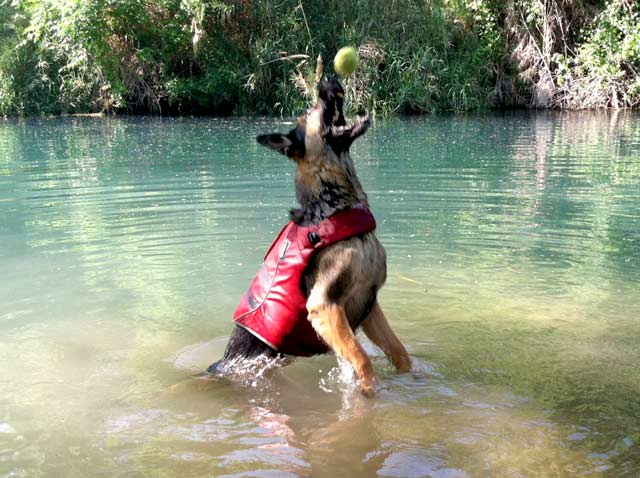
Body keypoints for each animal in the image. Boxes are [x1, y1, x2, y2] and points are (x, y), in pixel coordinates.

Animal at [210, 75, 410, 396]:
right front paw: (368, 395)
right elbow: (361, 359)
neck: (335, 205)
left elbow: (401, 353)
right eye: (313, 108)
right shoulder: (325, 306)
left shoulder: (369, 305)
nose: (329, 78)